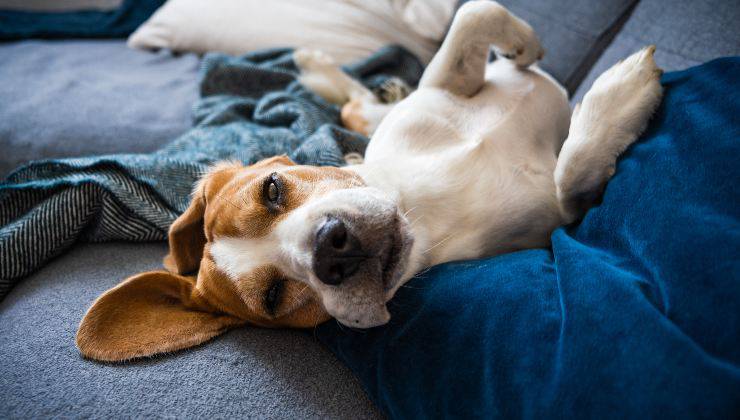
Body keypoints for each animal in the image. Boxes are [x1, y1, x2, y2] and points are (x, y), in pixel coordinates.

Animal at [78, 0, 660, 360]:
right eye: (272, 297)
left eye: (272, 189)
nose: (330, 249)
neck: (424, 205)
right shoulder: (563, 215)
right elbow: (571, 170)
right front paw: (623, 92)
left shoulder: (445, 83)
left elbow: (473, 15)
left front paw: (525, 46)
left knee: (361, 107)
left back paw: (331, 72)